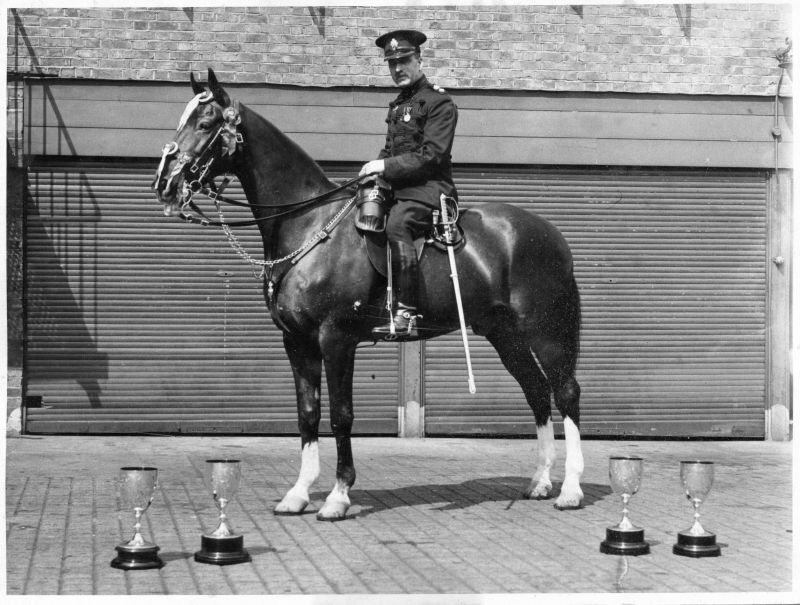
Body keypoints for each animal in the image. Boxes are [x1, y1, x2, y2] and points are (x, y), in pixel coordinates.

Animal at [153, 68, 584, 516]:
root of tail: (551, 235)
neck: (310, 225)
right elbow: (308, 414)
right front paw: (298, 493)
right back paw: (540, 482)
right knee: (537, 392)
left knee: (566, 393)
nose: (165, 181)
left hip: (546, 333)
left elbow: (341, 415)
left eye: (205, 123)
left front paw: (339, 495)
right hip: (505, 335)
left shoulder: (337, 339)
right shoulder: (297, 343)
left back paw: (570, 489)